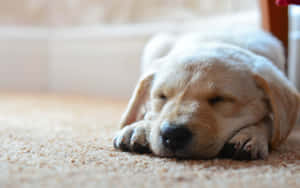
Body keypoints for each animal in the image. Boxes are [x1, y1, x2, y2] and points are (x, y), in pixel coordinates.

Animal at [113, 30, 300, 160]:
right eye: (162, 96)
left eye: (220, 99)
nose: (172, 134)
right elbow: (150, 114)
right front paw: (139, 127)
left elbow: (270, 121)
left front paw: (251, 134)